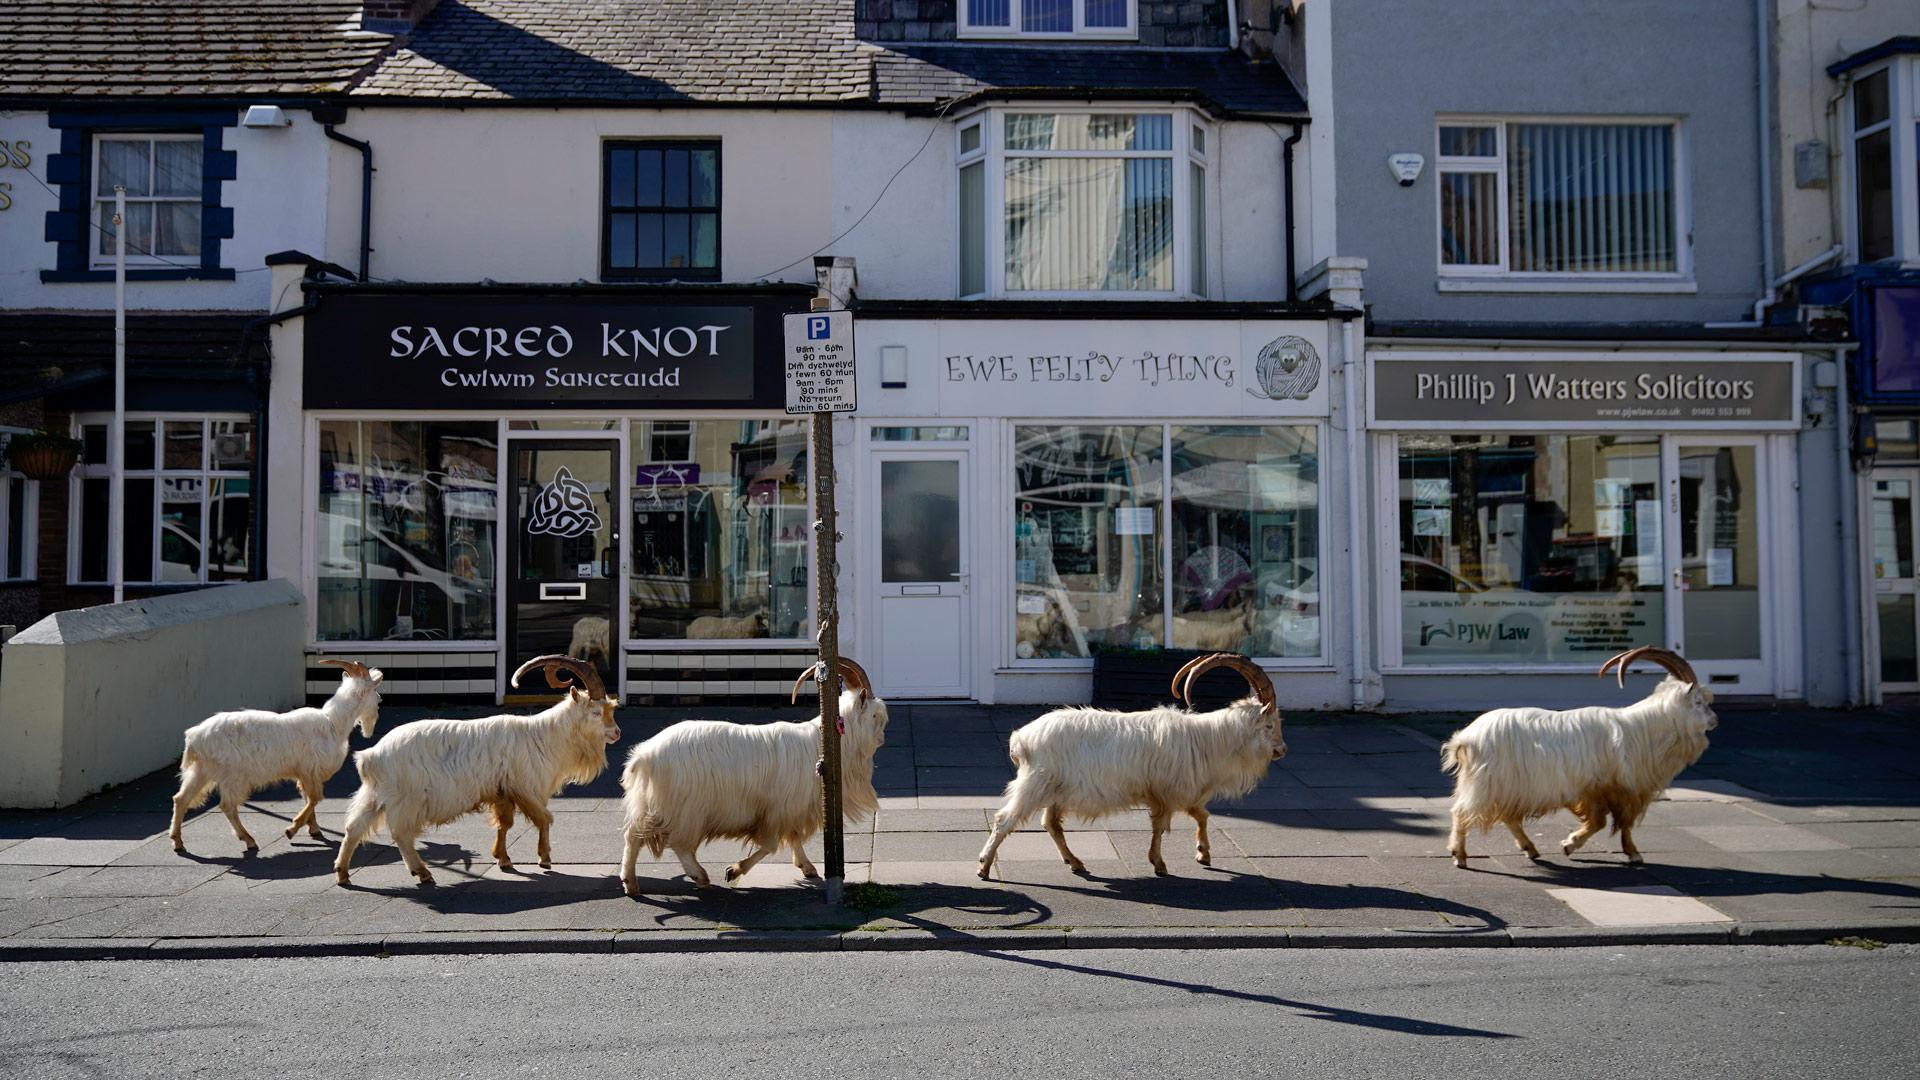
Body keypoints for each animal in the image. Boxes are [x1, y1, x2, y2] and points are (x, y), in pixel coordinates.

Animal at [172, 657, 382, 849]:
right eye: (374, 691)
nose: (380, 700)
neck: (333, 722)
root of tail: (194, 737)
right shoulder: (310, 770)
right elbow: (315, 798)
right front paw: (292, 829)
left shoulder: (304, 773)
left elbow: (309, 798)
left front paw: (314, 829)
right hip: (233, 775)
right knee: (227, 806)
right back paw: (248, 840)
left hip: (201, 771)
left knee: (181, 799)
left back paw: (178, 842)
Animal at [334, 653, 618, 880]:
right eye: (596, 712)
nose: (617, 733)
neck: (543, 736)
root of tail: (372, 756)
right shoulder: (527, 788)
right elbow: (545, 819)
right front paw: (545, 859)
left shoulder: (503, 792)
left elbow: (505, 824)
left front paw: (503, 859)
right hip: (407, 799)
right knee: (401, 833)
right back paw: (422, 872)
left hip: (374, 794)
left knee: (354, 827)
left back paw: (343, 873)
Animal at [618, 657, 887, 891]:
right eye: (875, 715)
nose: (883, 739)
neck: (825, 743)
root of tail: (645, 755)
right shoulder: (775, 810)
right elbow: (770, 844)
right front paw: (734, 870)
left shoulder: (791, 809)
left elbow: (794, 837)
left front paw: (808, 867)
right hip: (687, 809)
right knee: (678, 843)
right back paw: (699, 876)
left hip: (655, 804)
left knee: (634, 835)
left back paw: (631, 884)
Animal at [983, 653, 1282, 880]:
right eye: (1269, 725)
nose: (1282, 750)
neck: (1207, 739)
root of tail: (1021, 739)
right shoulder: (1169, 791)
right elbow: (1163, 825)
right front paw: (1160, 864)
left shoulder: (1176, 792)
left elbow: (1201, 815)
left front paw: (1203, 854)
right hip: (1035, 783)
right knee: (1004, 820)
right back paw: (984, 867)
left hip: (1055, 791)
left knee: (1051, 824)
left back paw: (1075, 862)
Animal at [1443, 645, 1712, 864]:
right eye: (1699, 702)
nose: (1714, 719)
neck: (1642, 730)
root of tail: (1467, 737)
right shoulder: (1612, 787)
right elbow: (1612, 822)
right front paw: (1624, 852)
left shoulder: (1605, 789)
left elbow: (1609, 822)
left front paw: (1575, 845)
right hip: (1489, 784)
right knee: (1461, 812)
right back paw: (1460, 855)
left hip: (1508, 787)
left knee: (1508, 817)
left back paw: (1530, 849)